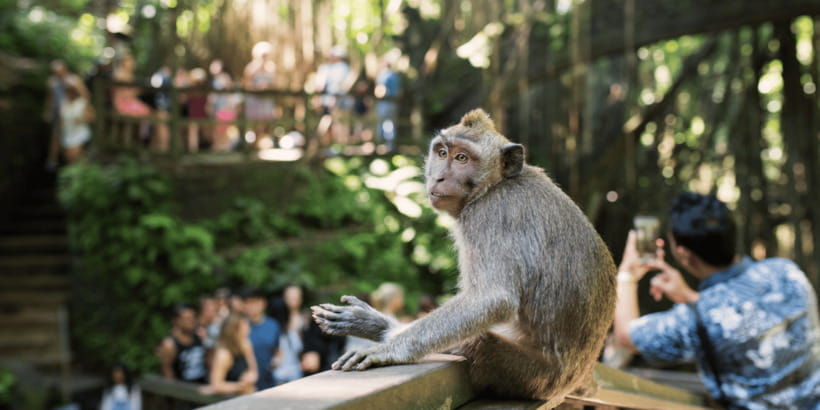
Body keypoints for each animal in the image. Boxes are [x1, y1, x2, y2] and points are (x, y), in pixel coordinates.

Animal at [311, 109, 616, 407]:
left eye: (462, 158)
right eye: (442, 153)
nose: (438, 178)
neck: (496, 185)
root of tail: (573, 379)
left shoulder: (490, 216)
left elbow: (492, 298)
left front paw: (389, 349)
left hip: (533, 376)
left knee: (479, 343)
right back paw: (377, 325)